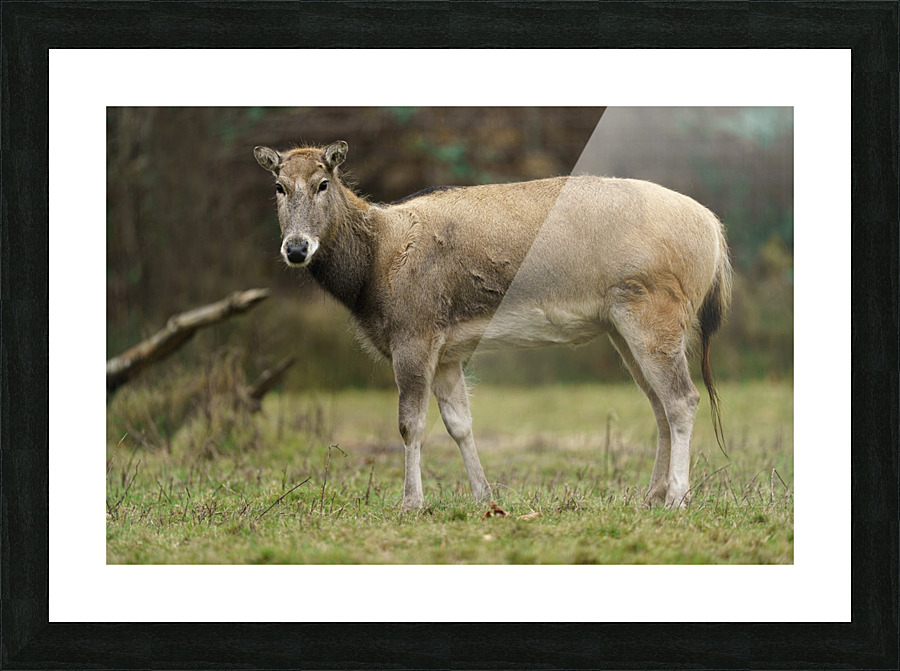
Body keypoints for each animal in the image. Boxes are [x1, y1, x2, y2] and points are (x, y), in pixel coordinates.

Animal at [254, 140, 732, 511]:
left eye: (322, 183)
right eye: (279, 186)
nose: (296, 247)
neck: (374, 274)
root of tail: (715, 232)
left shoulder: (415, 332)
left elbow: (410, 424)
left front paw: (411, 503)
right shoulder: (447, 351)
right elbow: (459, 423)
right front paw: (484, 496)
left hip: (654, 310)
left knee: (683, 399)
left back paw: (677, 498)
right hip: (621, 326)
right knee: (658, 404)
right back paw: (651, 495)